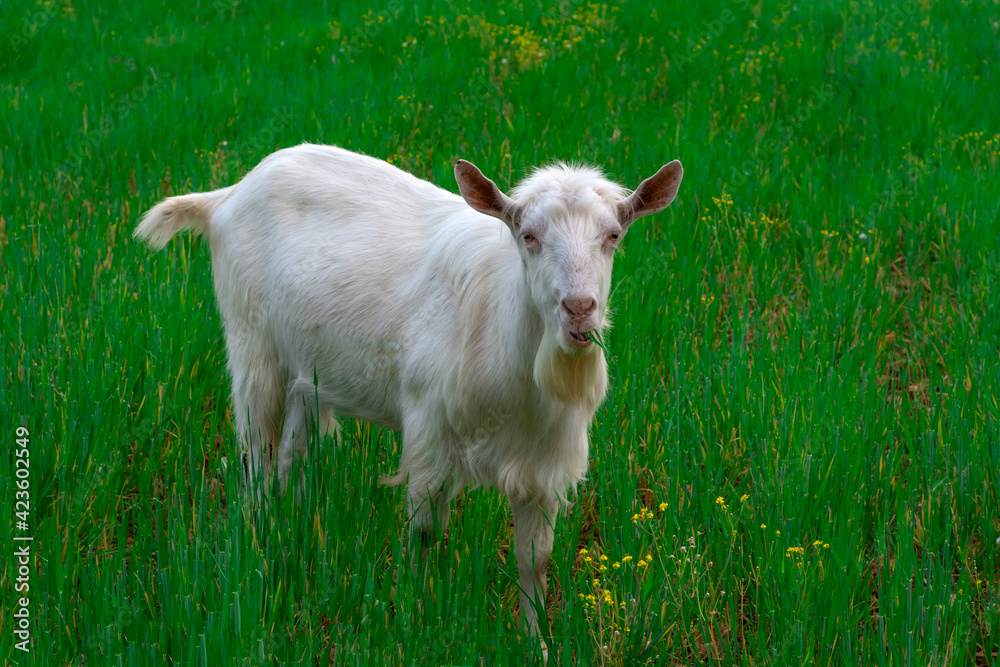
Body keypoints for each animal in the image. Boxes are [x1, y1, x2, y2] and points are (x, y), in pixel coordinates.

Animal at [135, 143, 682, 644]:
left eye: (613, 236)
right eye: (528, 237)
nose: (579, 309)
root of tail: (227, 196)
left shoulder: (543, 462)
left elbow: (535, 557)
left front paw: (536, 641)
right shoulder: (429, 431)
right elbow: (424, 533)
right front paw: (416, 620)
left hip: (306, 376)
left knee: (291, 455)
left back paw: (294, 532)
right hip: (253, 347)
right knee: (257, 456)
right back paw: (257, 542)